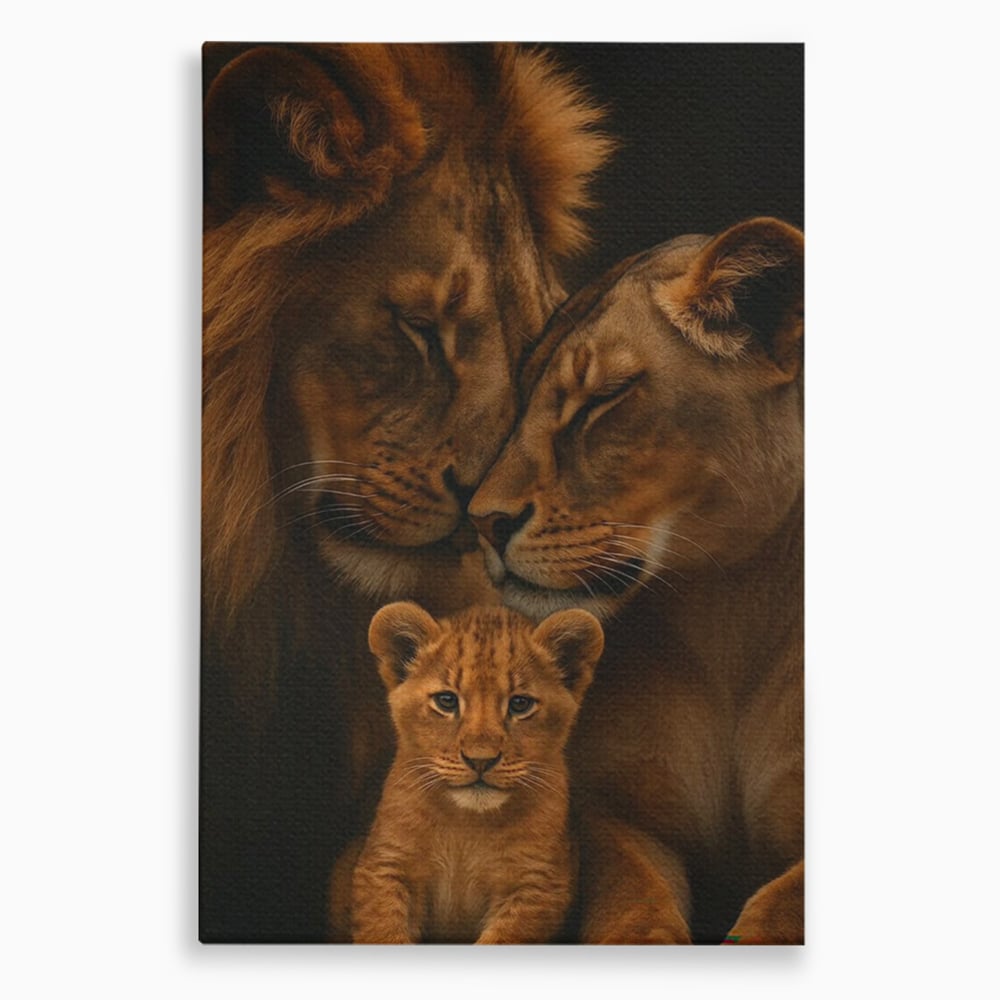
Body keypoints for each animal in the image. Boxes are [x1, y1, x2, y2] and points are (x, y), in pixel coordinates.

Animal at [329, 602, 603, 943]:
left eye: (520, 704)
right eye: (447, 701)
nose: (480, 760)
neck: (467, 825)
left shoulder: (538, 886)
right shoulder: (386, 866)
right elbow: (382, 932)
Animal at [468, 217, 804, 943]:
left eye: (603, 399)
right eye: (523, 397)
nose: (482, 521)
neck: (731, 609)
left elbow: (778, 910)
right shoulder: (612, 812)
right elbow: (630, 903)